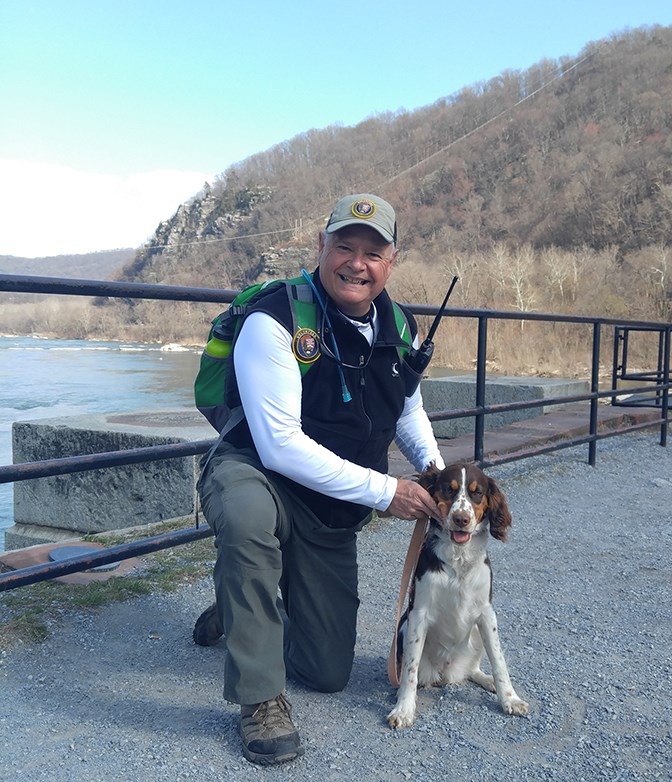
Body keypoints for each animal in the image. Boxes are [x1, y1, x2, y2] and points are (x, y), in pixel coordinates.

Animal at [388, 462, 532, 732]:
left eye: (477, 492)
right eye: (449, 489)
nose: (461, 519)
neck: (459, 558)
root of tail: (445, 675)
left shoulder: (487, 614)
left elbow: (499, 660)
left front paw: (510, 699)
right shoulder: (418, 615)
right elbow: (410, 671)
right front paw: (403, 710)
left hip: (475, 632)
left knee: (472, 670)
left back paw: (487, 680)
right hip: (403, 626)